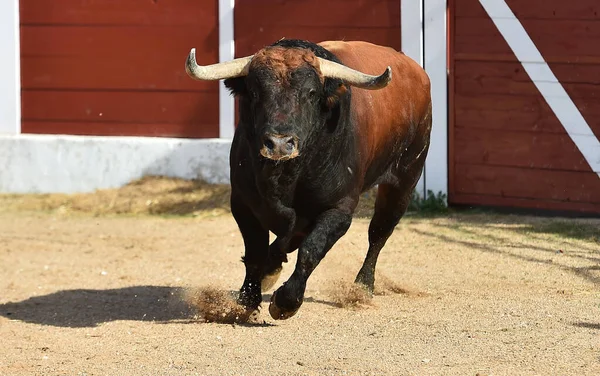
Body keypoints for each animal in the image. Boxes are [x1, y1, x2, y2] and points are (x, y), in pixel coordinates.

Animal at [186, 38, 432, 320]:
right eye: (256, 92)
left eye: (312, 94)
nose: (279, 144)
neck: (286, 175)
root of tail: (416, 71)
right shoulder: (242, 203)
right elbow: (256, 250)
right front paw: (246, 301)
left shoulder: (339, 210)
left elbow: (311, 250)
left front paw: (286, 302)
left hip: (404, 180)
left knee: (379, 232)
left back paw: (362, 287)